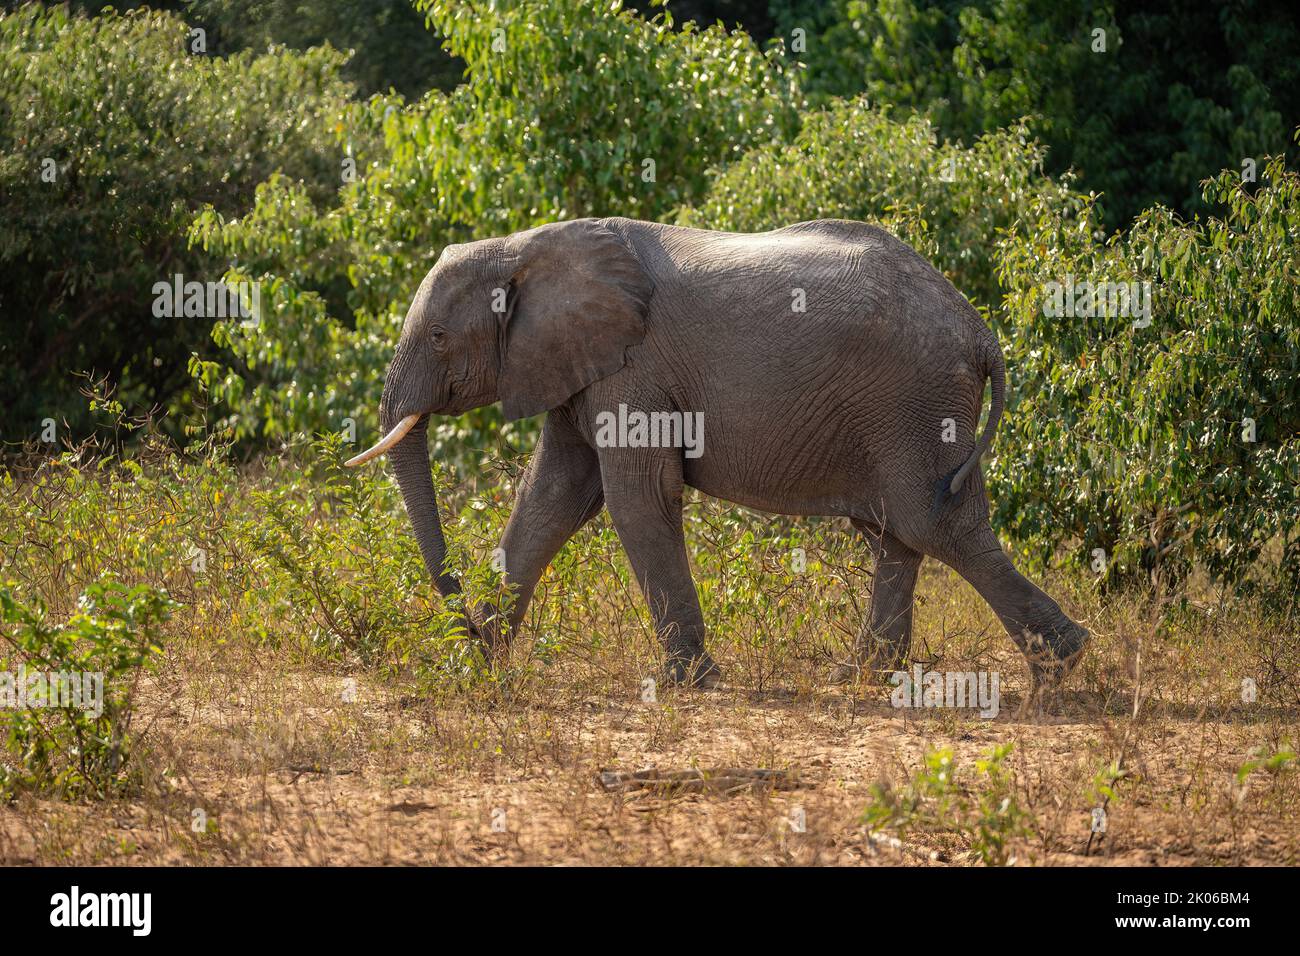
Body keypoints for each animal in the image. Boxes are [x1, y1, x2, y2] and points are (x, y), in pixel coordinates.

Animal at [347, 216, 1088, 706]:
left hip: (915, 404)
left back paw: (1060, 670)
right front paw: (478, 664)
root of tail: (980, 330)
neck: (523, 245)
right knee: (896, 533)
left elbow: (635, 499)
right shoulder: (580, 365)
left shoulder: (633, 368)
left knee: (936, 524)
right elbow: (552, 497)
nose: (463, 621)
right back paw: (862, 679)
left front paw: (687, 683)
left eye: (438, 337)